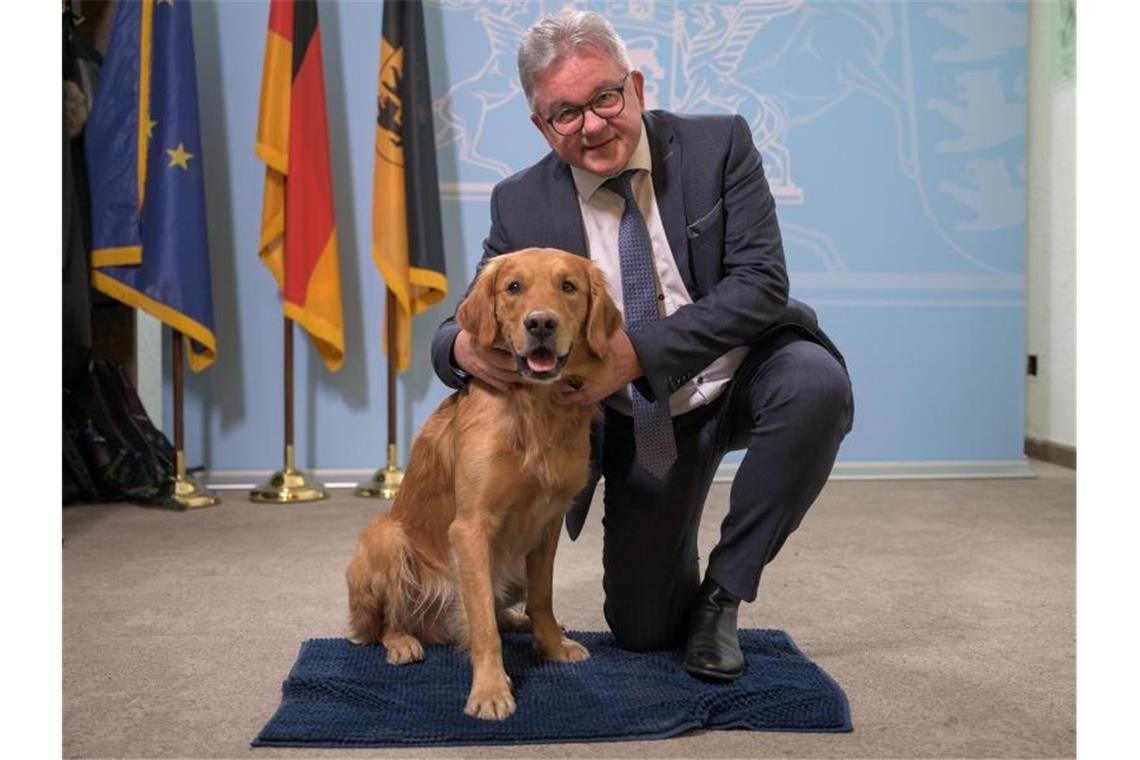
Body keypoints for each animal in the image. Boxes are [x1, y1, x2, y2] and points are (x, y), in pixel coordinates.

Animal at [346, 248, 624, 720]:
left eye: (568, 286)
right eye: (513, 287)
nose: (540, 323)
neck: (536, 407)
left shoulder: (548, 524)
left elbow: (543, 597)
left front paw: (551, 645)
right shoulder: (471, 527)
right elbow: (483, 626)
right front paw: (491, 690)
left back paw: (517, 620)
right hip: (387, 538)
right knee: (388, 622)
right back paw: (402, 642)